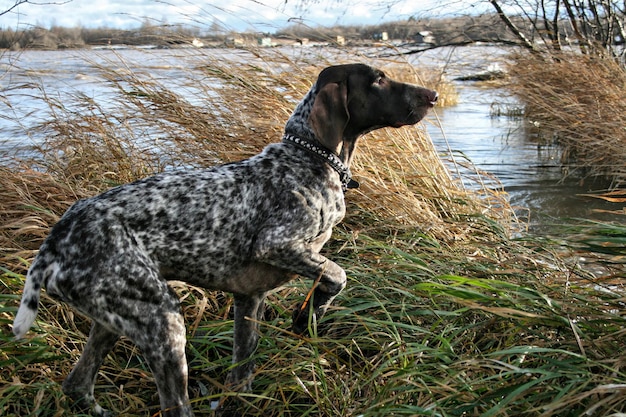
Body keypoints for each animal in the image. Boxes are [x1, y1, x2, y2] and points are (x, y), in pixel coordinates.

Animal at [12, 62, 436, 416]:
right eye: (378, 79)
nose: (432, 95)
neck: (311, 158)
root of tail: (55, 241)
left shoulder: (249, 297)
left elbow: (243, 367)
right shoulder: (278, 244)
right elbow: (336, 275)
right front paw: (307, 315)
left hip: (116, 317)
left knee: (77, 385)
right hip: (163, 320)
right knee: (172, 405)